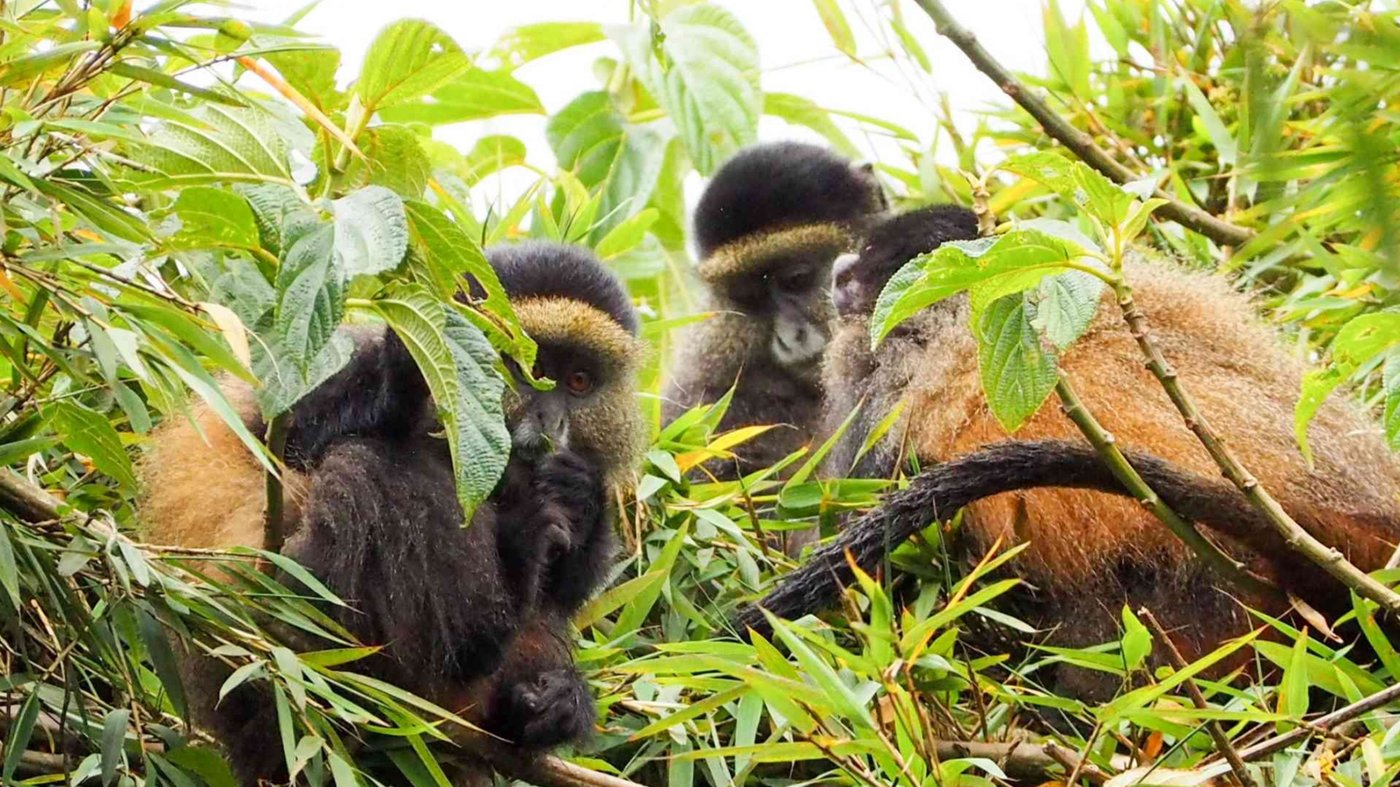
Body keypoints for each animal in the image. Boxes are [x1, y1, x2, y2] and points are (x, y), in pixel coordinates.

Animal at [137, 241, 646, 784]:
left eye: (579, 380)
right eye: (526, 369)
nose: (551, 419)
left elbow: (569, 587)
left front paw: (580, 493)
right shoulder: (340, 369)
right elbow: (290, 441)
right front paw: (406, 369)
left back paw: (543, 702)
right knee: (364, 471)